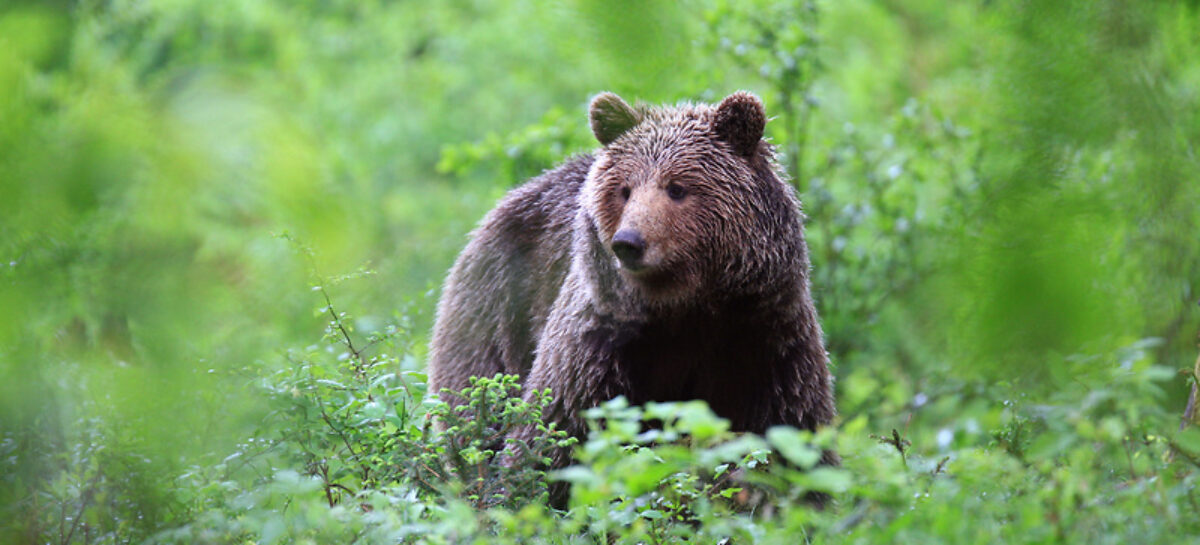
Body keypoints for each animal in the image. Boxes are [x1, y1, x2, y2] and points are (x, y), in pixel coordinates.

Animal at [429, 90, 835, 489]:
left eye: (677, 187)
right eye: (625, 190)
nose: (628, 242)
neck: (687, 306)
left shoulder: (766, 338)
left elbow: (792, 436)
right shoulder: (600, 344)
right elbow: (552, 437)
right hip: (496, 316)